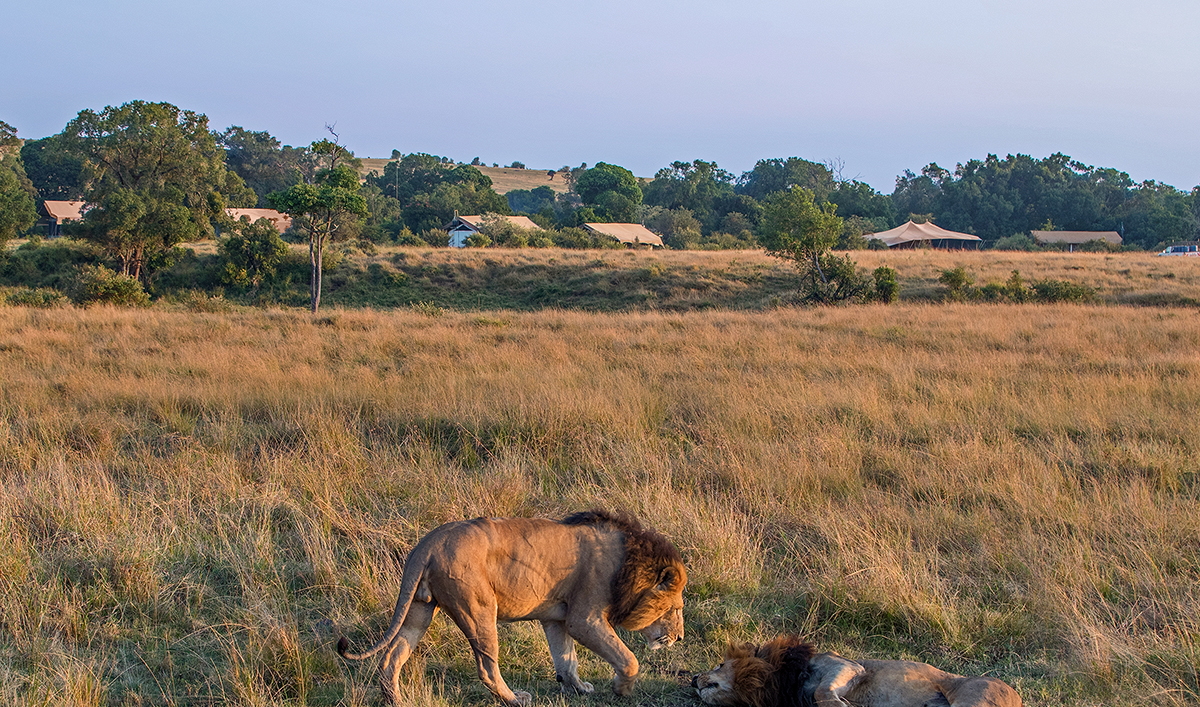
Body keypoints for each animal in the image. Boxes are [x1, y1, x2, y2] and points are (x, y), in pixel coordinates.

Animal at [337, 510, 687, 706]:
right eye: (676, 608)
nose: (680, 638)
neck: (630, 562)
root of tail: (429, 543)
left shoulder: (557, 619)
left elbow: (566, 659)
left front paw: (579, 688)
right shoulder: (583, 618)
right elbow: (628, 659)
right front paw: (621, 689)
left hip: (419, 610)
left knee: (391, 657)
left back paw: (396, 701)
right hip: (478, 610)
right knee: (487, 667)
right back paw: (514, 699)